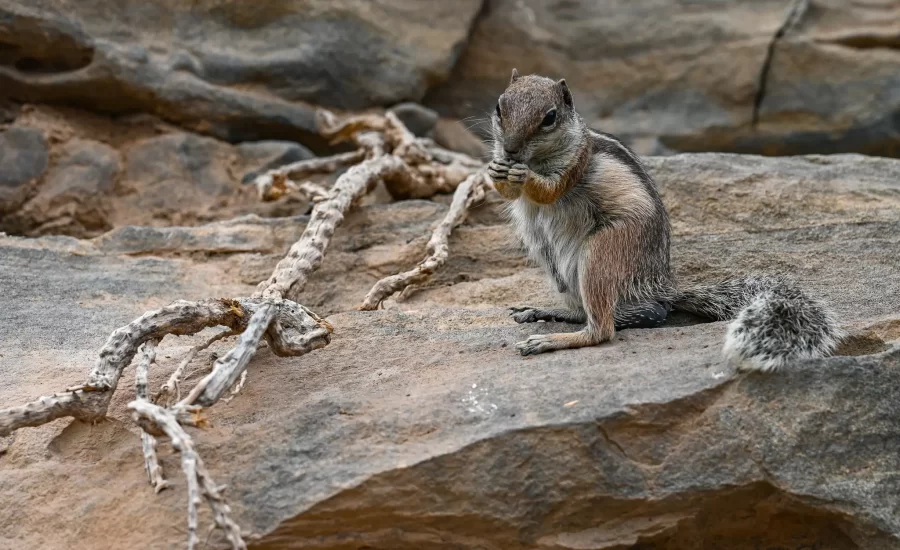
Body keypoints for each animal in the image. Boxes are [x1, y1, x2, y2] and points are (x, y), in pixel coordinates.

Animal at [488, 68, 840, 370]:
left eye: (550, 117)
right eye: (498, 106)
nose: (511, 150)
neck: (537, 158)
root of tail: (661, 285)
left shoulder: (576, 162)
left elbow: (549, 190)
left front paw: (525, 176)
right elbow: (507, 192)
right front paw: (496, 170)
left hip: (602, 254)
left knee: (607, 327)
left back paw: (550, 340)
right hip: (550, 262)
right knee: (599, 311)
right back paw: (545, 311)